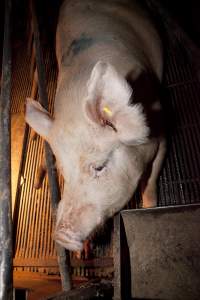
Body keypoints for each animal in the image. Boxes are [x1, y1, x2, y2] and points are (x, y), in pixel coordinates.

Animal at [25, 0, 166, 252]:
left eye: (99, 167)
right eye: (63, 172)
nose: (61, 236)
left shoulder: (161, 136)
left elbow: (150, 183)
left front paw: (149, 207)